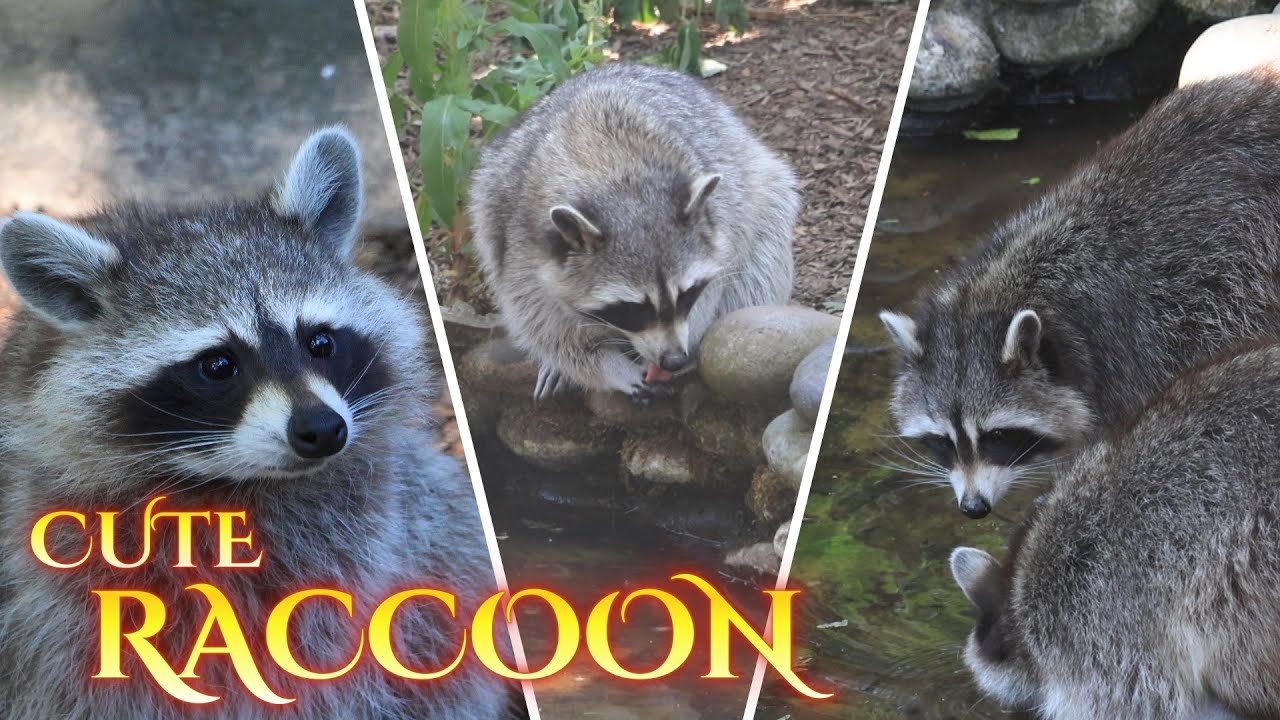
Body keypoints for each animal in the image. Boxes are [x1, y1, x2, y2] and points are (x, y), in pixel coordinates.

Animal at [468, 63, 799, 400]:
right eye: (634, 308)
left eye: (686, 294)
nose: (674, 359)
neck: (615, 175)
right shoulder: (518, 238)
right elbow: (539, 320)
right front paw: (605, 364)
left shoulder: (723, 217)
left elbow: (717, 286)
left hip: (762, 187)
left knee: (761, 263)